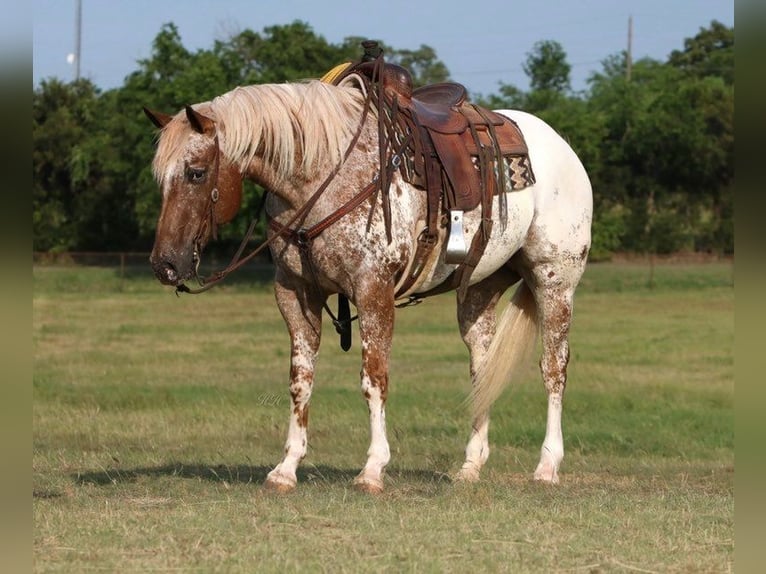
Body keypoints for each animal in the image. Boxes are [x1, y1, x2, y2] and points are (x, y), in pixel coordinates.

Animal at [147, 71, 596, 496]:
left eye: (196, 173)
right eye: (160, 179)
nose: (165, 264)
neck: (322, 175)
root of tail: (563, 148)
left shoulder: (373, 289)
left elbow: (373, 378)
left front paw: (373, 469)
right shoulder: (295, 293)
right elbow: (300, 380)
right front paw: (286, 468)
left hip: (555, 282)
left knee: (554, 368)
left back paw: (547, 466)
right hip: (479, 291)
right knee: (481, 370)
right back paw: (470, 466)